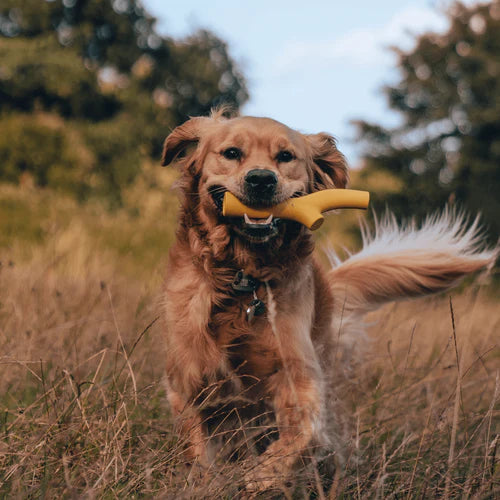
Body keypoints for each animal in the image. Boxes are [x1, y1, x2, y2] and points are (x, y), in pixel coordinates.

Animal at [161, 109, 496, 492]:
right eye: (231, 153)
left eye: (285, 156)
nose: (261, 180)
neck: (244, 279)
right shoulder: (188, 381)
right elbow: (197, 449)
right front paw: (206, 483)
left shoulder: (301, 373)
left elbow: (306, 434)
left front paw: (263, 475)